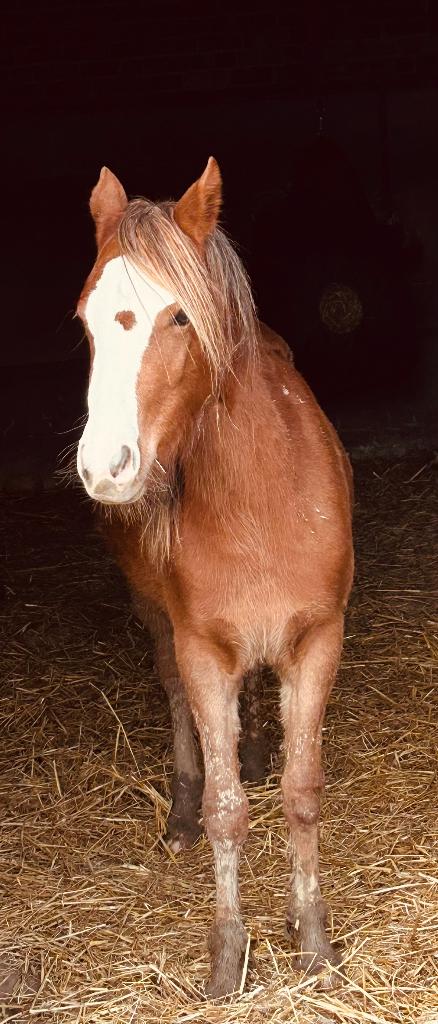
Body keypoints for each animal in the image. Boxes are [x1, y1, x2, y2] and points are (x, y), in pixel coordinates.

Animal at [75, 158, 354, 998]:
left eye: (177, 318)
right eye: (86, 322)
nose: (105, 468)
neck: (259, 497)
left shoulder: (317, 640)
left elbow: (302, 793)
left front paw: (313, 942)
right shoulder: (202, 648)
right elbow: (230, 810)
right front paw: (229, 953)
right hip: (158, 618)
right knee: (172, 697)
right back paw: (180, 810)